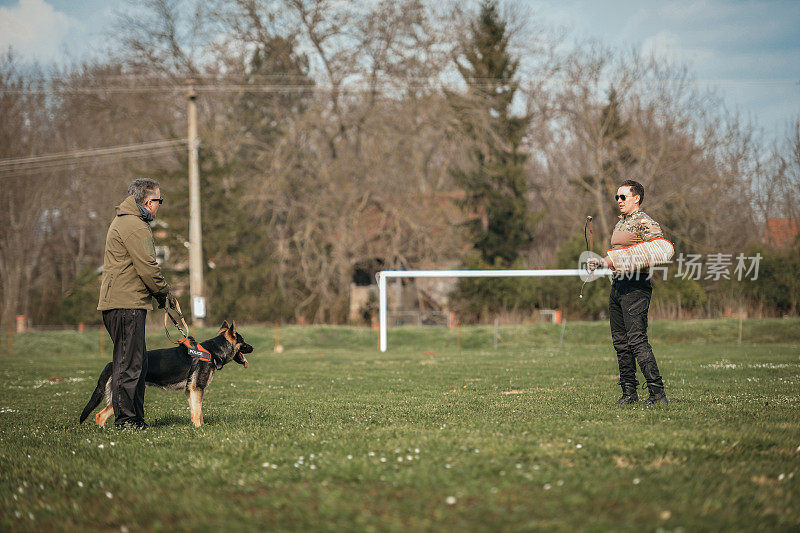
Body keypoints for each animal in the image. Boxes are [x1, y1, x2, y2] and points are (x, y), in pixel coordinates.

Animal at [79, 320, 255, 428]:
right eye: (243, 341)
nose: (253, 347)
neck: (213, 350)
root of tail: (112, 364)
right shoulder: (197, 389)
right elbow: (198, 411)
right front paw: (200, 428)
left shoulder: (190, 391)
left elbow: (196, 411)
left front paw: (199, 427)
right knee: (101, 415)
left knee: (100, 415)